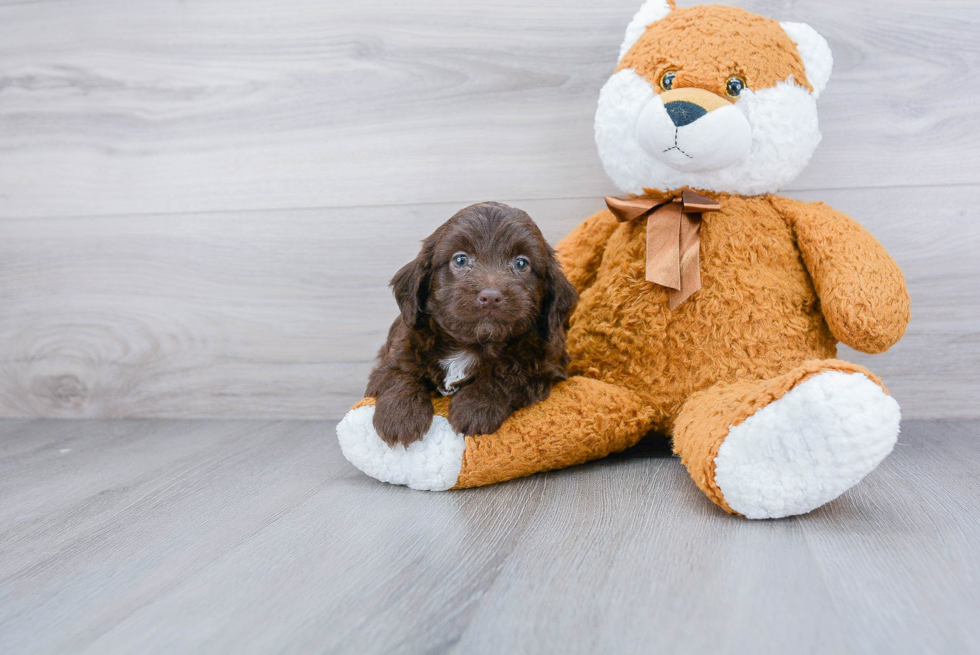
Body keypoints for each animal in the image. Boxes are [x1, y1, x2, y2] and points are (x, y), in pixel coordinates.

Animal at [370, 201, 580, 446]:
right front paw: (400, 416)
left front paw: (475, 407)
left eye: (521, 264)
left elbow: (510, 375)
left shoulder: (547, 365)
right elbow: (399, 372)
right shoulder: (400, 346)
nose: (491, 296)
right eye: (460, 260)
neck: (471, 345)